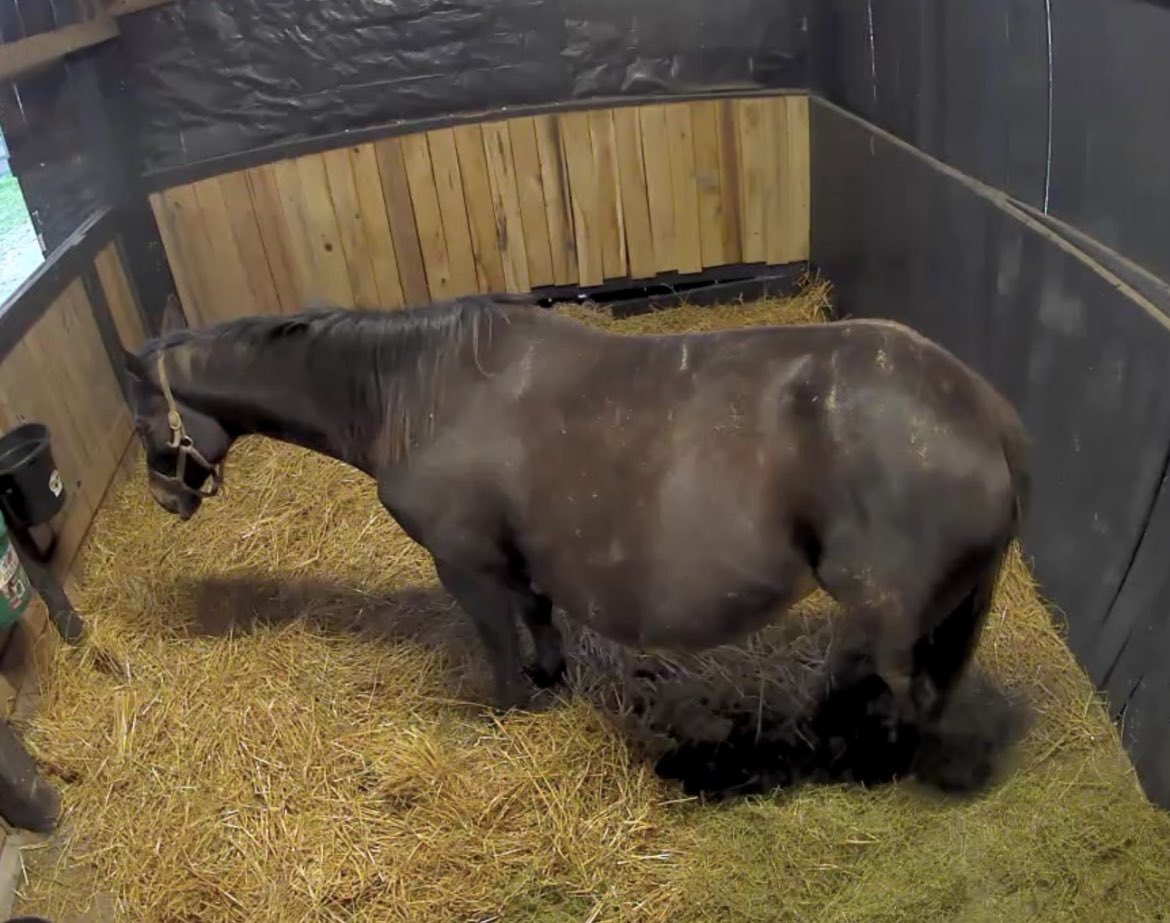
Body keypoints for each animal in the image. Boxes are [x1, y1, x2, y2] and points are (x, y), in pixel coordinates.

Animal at [123, 293, 1030, 737]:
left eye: (139, 418)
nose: (168, 497)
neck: (420, 392)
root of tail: (983, 410)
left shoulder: (465, 561)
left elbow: (496, 638)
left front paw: (505, 712)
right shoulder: (518, 555)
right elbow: (538, 615)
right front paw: (550, 677)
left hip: (890, 608)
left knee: (893, 678)